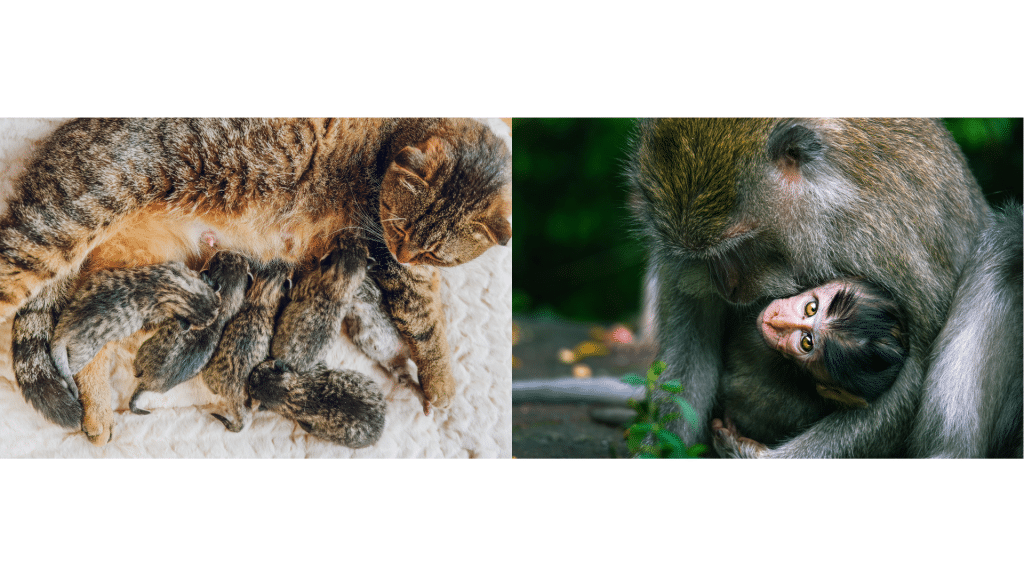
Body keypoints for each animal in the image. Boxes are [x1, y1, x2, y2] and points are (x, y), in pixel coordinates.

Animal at [129, 251, 251, 414]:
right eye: (235, 259)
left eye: (218, 259)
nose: (221, 251)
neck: (224, 305)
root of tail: (147, 384)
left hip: (144, 350)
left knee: (137, 365)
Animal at [201, 258, 293, 432]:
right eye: (283, 269)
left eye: (274, 265)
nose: (288, 264)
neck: (261, 297)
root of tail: (232, 391)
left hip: (209, 375)